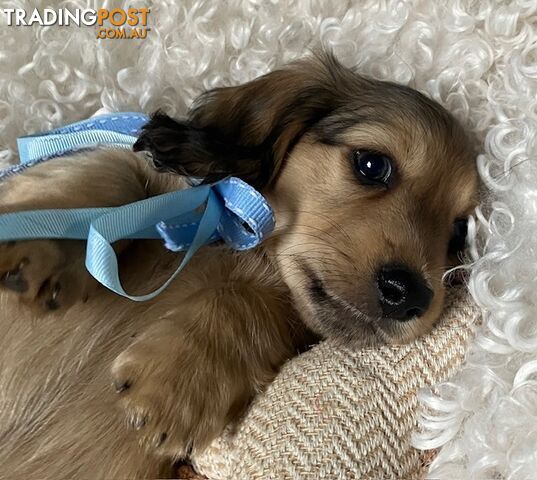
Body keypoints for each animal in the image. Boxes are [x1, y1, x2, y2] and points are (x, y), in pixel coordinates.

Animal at [0, 53, 478, 480]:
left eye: (458, 233)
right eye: (372, 164)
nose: (410, 294)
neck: (241, 249)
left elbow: (248, 303)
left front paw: (174, 385)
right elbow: (116, 174)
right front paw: (37, 241)